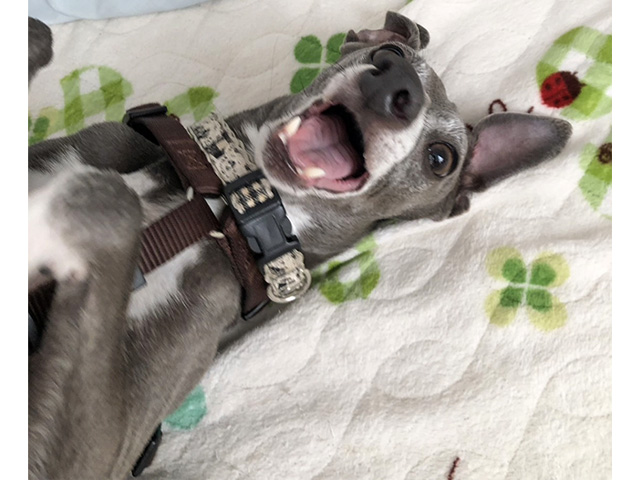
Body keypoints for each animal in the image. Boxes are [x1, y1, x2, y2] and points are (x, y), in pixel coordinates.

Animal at [28, 12, 571, 479]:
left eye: (441, 158)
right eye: (391, 50)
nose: (396, 86)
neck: (225, 201)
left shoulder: (104, 448)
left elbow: (113, 205)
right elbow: (43, 37)